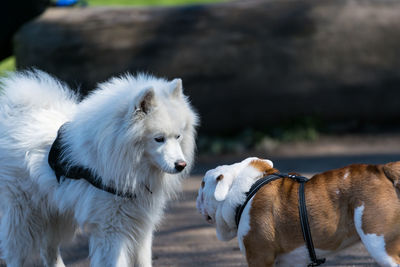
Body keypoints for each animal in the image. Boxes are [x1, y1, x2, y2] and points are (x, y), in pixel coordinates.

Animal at [0, 70, 198, 266]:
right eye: (159, 139)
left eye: (178, 136)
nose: (181, 165)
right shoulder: (111, 228)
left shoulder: (141, 225)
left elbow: (143, 261)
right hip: (23, 214)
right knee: (16, 253)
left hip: (57, 214)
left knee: (48, 249)